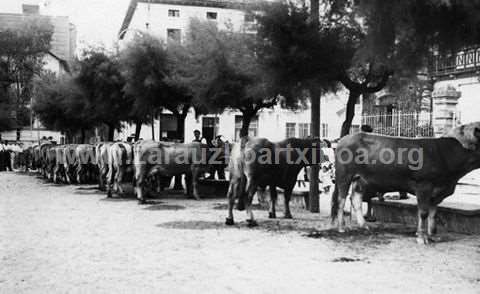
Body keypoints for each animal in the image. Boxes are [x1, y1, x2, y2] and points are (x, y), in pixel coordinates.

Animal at [332, 121, 480, 243]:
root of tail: (344, 139)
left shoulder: (437, 191)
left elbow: (433, 214)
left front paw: (432, 235)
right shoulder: (424, 186)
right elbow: (423, 212)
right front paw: (422, 237)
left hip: (361, 179)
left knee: (355, 199)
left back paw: (364, 226)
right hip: (344, 175)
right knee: (341, 199)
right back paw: (341, 227)